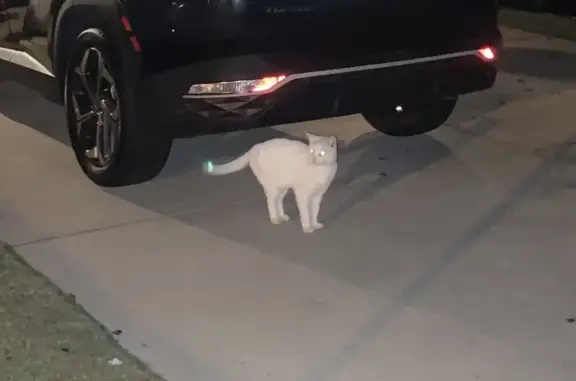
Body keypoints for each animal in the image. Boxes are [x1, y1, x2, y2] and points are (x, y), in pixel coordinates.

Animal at [202, 133, 338, 232]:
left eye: (321, 153)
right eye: (311, 152)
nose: (313, 159)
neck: (321, 170)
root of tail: (255, 147)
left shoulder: (318, 195)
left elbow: (314, 211)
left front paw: (314, 224)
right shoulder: (302, 194)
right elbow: (305, 213)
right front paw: (307, 227)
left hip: (282, 186)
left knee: (278, 201)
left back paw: (281, 216)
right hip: (272, 187)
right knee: (271, 202)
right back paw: (275, 218)